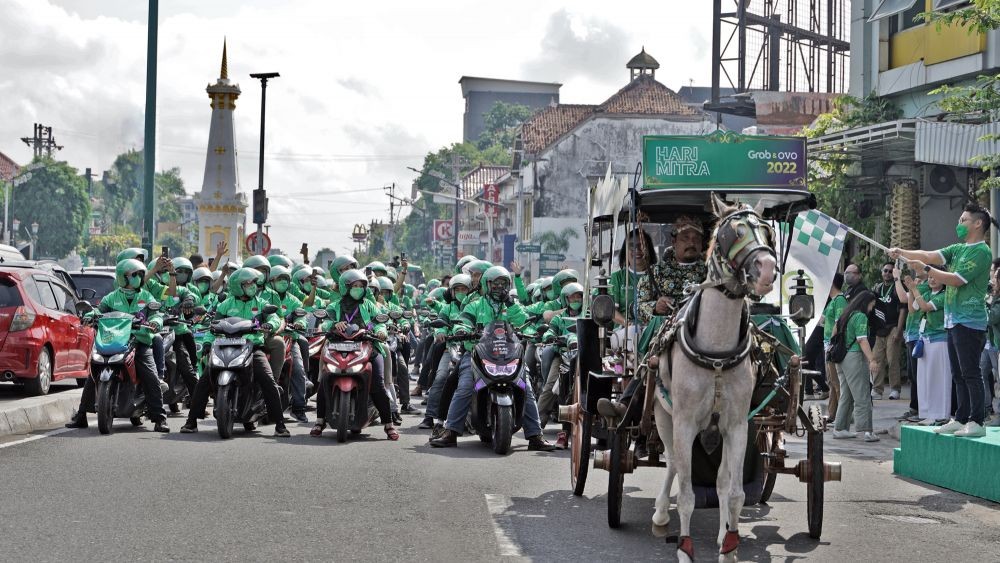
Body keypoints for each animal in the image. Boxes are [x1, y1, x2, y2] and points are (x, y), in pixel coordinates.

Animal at [648, 196, 780, 560]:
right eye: (732, 232)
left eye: (767, 232)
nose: (766, 269)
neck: (717, 353)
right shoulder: (683, 421)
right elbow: (687, 494)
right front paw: (684, 548)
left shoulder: (737, 425)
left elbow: (734, 492)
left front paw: (729, 546)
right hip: (663, 416)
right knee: (674, 464)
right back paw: (661, 515)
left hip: (716, 432)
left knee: (720, 480)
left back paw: (722, 534)